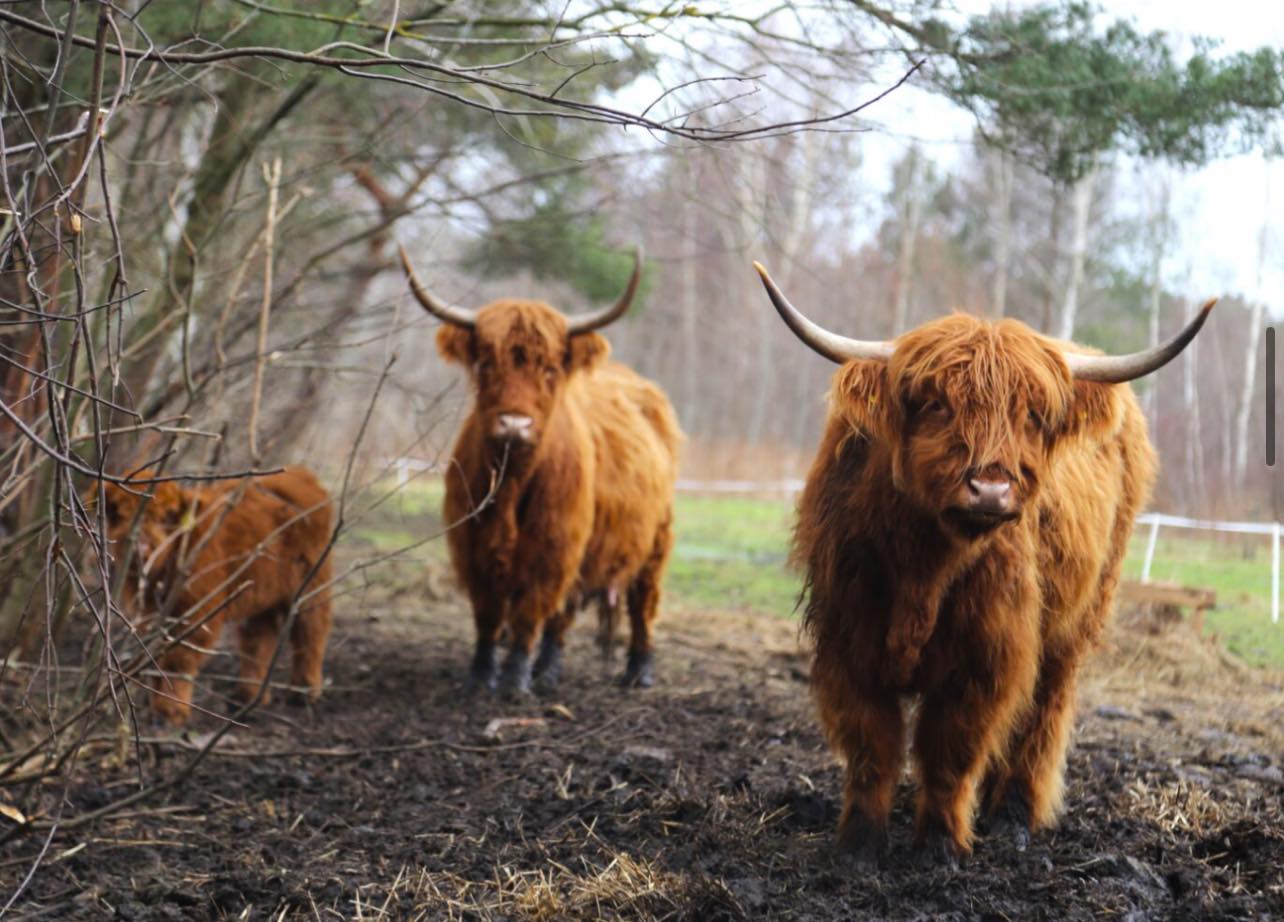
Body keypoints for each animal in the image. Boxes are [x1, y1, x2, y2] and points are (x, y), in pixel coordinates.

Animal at [99, 464, 333, 724]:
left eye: (167, 517)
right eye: (120, 513)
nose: (142, 545)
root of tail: (301, 474)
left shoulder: (196, 611)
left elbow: (178, 659)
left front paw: (171, 712)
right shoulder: (151, 614)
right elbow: (155, 655)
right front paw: (155, 707)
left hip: (312, 584)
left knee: (310, 631)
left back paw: (303, 692)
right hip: (264, 593)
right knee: (259, 639)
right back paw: (246, 698)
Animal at [398, 249, 683, 698]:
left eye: (549, 369)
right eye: (486, 364)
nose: (515, 424)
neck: (512, 485)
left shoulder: (553, 545)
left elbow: (528, 612)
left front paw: (514, 681)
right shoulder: (473, 545)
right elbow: (488, 614)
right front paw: (481, 677)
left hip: (654, 541)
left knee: (642, 603)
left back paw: (638, 671)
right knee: (562, 616)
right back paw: (548, 670)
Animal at [749, 261, 1212, 868]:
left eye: (1033, 415)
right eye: (937, 404)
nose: (990, 489)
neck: (923, 567)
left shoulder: (987, 655)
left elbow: (951, 749)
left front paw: (940, 847)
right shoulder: (848, 642)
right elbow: (872, 746)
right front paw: (859, 845)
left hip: (1077, 621)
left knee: (1043, 712)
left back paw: (1013, 815)